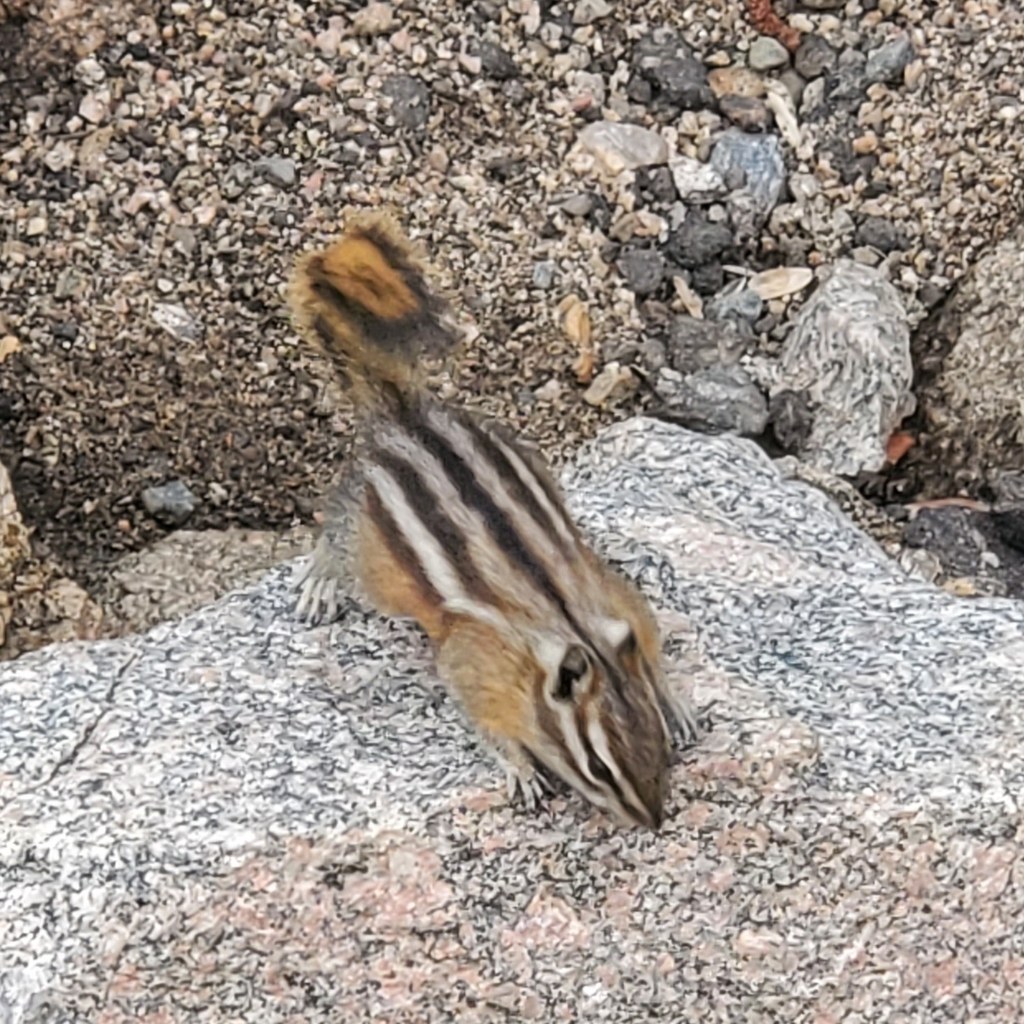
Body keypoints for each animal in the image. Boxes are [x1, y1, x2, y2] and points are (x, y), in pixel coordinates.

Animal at [287, 214, 699, 828]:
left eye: (660, 745)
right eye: (598, 768)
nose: (652, 821)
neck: (570, 627)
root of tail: (404, 415)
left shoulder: (618, 600)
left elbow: (649, 641)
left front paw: (675, 703)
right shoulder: (474, 667)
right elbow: (483, 720)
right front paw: (521, 769)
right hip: (368, 543)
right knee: (334, 525)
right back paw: (319, 583)